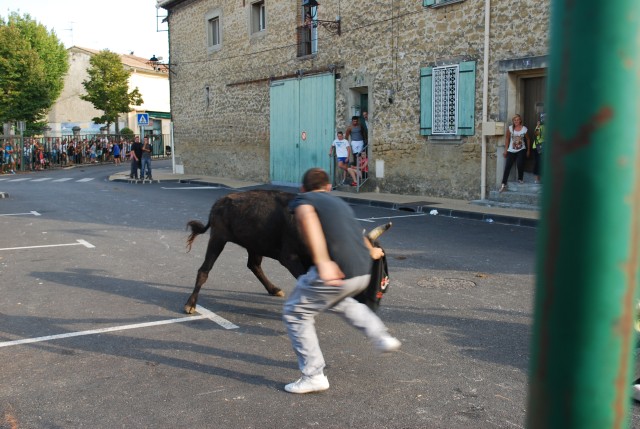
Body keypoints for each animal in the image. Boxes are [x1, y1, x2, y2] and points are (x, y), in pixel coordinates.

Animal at [182, 189, 388, 312]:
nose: (371, 300)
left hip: (255, 244)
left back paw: (274, 289)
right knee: (204, 270)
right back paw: (190, 304)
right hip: (218, 239)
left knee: (253, 265)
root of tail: (221, 201)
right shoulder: (290, 258)